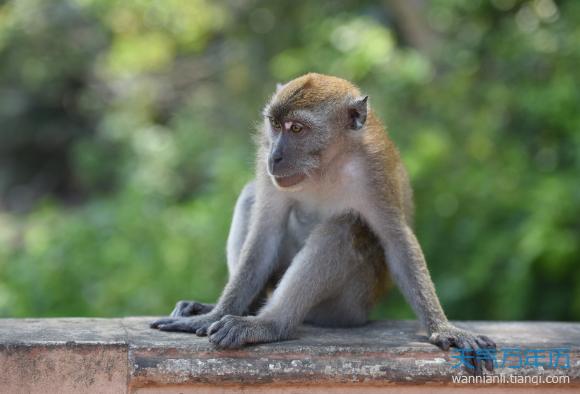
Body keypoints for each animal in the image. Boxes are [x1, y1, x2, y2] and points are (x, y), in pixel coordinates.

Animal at [152, 73, 496, 372]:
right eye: (275, 125)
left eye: (297, 128)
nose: (274, 156)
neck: (324, 164)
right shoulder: (267, 169)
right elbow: (264, 234)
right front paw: (214, 314)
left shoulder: (374, 171)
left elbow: (397, 242)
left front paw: (444, 328)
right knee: (252, 197)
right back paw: (242, 310)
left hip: (347, 307)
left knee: (346, 227)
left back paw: (270, 324)